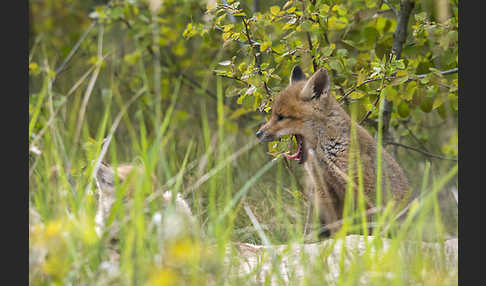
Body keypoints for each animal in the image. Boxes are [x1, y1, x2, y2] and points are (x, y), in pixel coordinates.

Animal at [256, 65, 412, 237]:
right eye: (273, 115)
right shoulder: (324, 190)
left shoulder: (361, 187)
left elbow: (365, 227)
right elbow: (335, 227)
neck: (326, 153)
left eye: (281, 117)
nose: (258, 134)